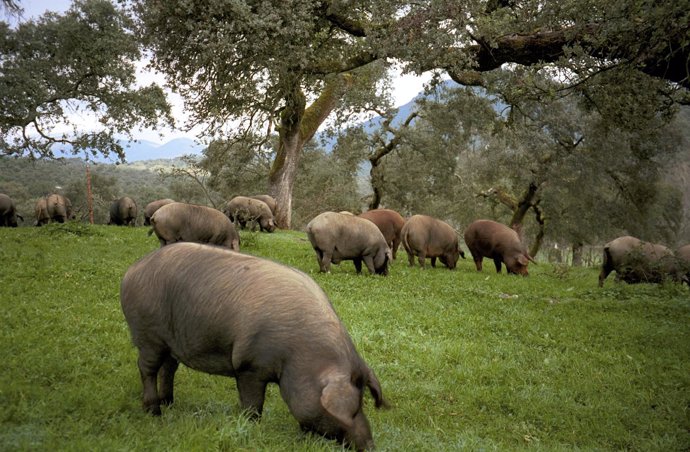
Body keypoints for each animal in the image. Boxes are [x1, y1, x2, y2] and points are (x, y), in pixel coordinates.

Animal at [120, 244, 384, 452]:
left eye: (363, 402)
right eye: (352, 408)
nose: (370, 446)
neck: (297, 356)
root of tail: (132, 271)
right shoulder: (248, 365)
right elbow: (252, 405)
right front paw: (251, 427)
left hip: (169, 342)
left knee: (169, 368)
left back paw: (169, 403)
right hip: (148, 335)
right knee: (147, 368)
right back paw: (154, 411)